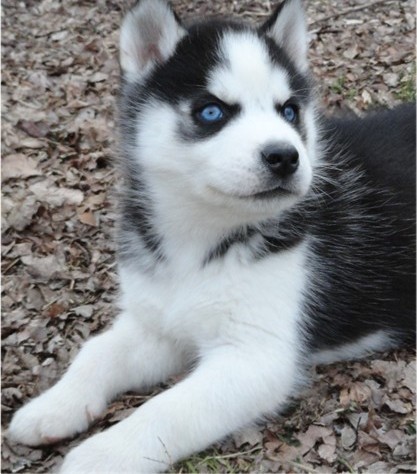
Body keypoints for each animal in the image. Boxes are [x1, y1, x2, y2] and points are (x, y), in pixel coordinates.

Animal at [8, 0, 414, 472]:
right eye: (211, 111)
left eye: (289, 111)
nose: (285, 156)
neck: (199, 239)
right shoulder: (158, 321)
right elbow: (96, 352)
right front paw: (52, 406)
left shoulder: (254, 357)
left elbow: (164, 411)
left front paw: (100, 455)